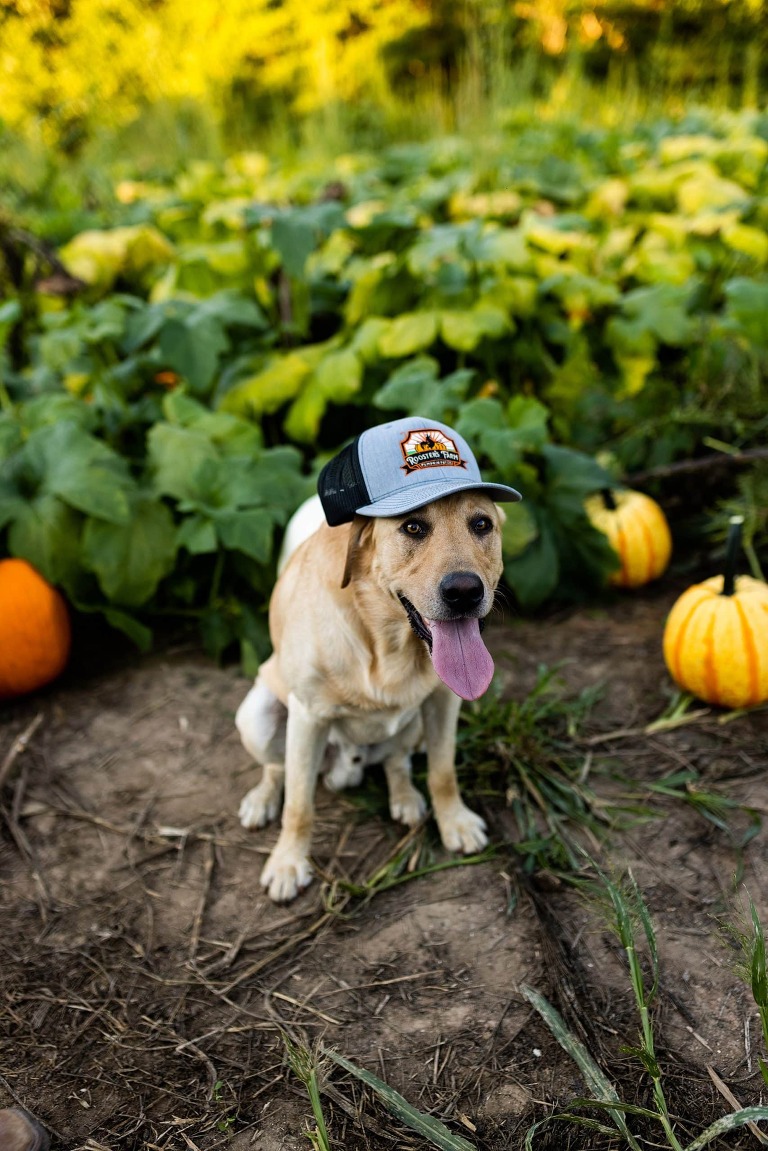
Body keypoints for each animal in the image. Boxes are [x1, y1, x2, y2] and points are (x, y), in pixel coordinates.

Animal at [237, 418, 520, 902]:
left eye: (481, 523)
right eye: (413, 527)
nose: (465, 592)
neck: (385, 642)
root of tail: (347, 765)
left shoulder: (445, 702)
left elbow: (443, 773)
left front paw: (454, 822)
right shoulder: (307, 717)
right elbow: (299, 805)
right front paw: (288, 862)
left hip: (413, 727)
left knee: (397, 759)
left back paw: (404, 797)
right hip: (256, 716)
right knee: (278, 768)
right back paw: (262, 799)